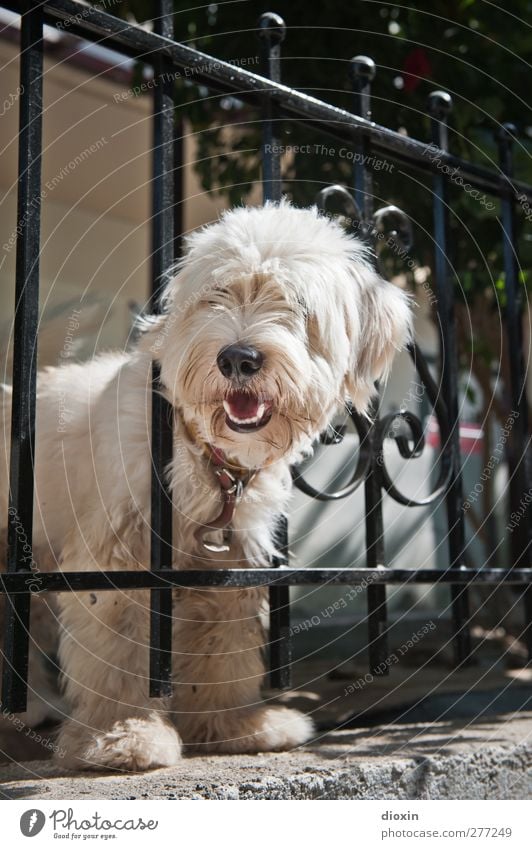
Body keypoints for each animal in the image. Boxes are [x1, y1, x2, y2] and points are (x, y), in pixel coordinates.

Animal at [0, 202, 412, 772]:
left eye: (297, 303)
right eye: (217, 294)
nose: (238, 358)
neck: (205, 455)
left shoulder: (227, 564)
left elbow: (220, 652)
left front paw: (229, 728)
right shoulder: (119, 554)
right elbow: (117, 652)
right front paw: (123, 735)